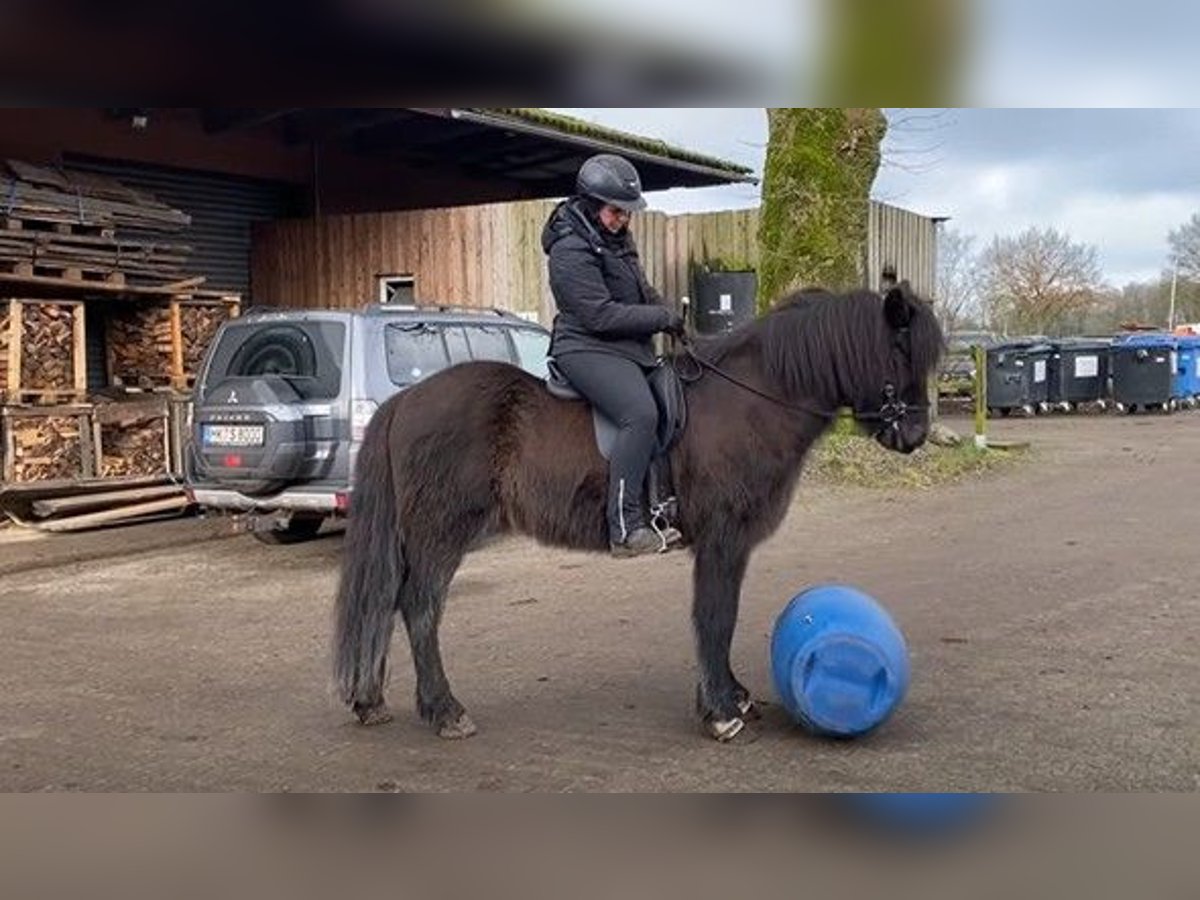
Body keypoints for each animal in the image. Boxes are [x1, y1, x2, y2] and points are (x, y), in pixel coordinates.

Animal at [333, 285, 940, 744]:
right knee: (420, 607)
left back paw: (370, 700)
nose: (914, 435)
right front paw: (721, 713)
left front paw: (733, 696)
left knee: (386, 600)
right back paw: (445, 711)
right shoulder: (722, 537)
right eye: (899, 351)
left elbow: (723, 615)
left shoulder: (732, 544)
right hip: (442, 531)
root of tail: (405, 401)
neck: (748, 403)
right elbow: (715, 617)